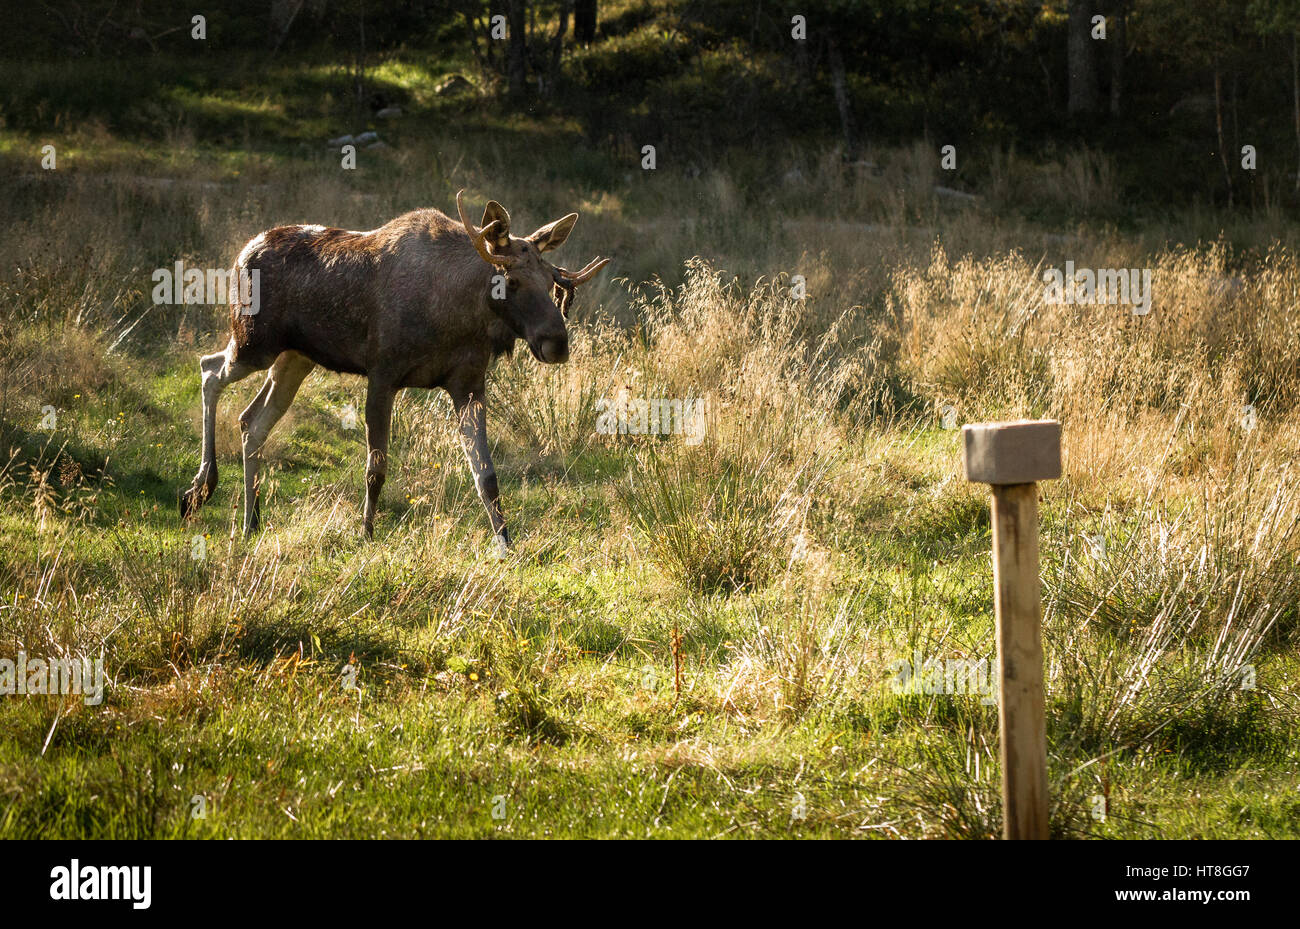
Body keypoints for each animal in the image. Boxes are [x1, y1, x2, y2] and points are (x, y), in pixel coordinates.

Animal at [179, 190, 609, 555]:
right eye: (511, 280)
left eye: (551, 281)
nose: (557, 343)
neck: (459, 313)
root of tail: (241, 252)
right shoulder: (382, 374)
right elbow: (376, 469)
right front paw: (366, 532)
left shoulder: (468, 384)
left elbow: (486, 475)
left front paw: (504, 542)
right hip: (253, 343)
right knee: (209, 369)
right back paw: (199, 490)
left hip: (295, 359)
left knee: (252, 420)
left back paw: (250, 521)